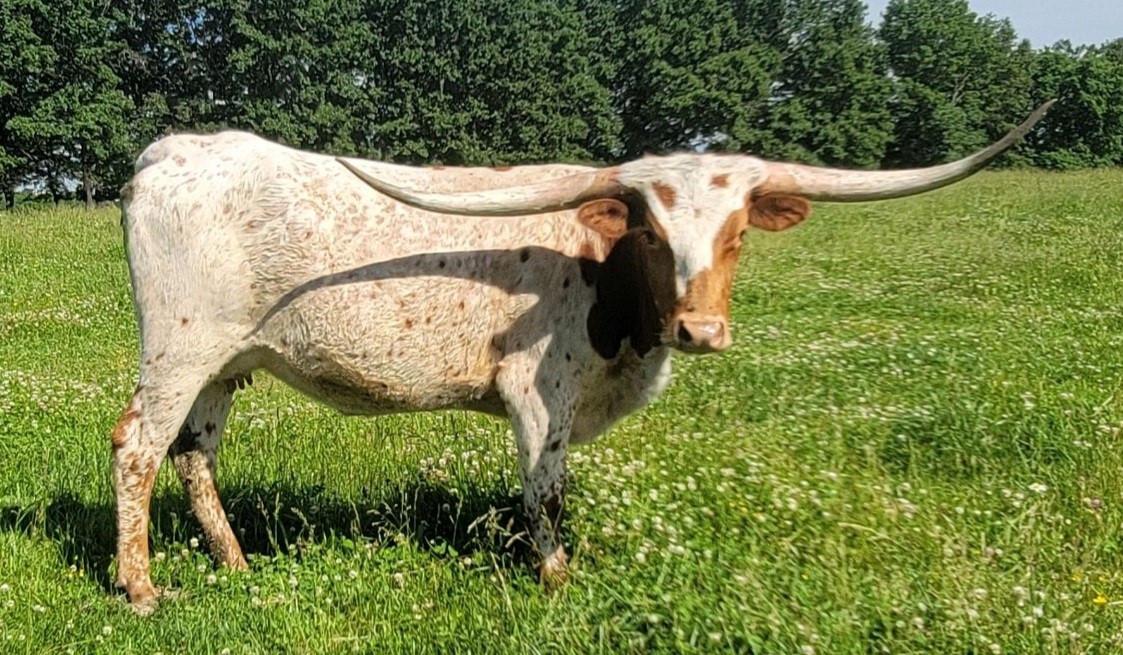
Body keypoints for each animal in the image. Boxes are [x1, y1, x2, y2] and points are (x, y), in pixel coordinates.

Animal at [112, 102, 1052, 613]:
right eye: (649, 230)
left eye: (738, 234)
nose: (701, 330)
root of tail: (177, 150)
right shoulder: (540, 394)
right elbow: (546, 492)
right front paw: (557, 581)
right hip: (179, 347)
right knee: (136, 449)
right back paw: (142, 588)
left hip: (226, 363)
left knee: (194, 457)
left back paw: (236, 564)